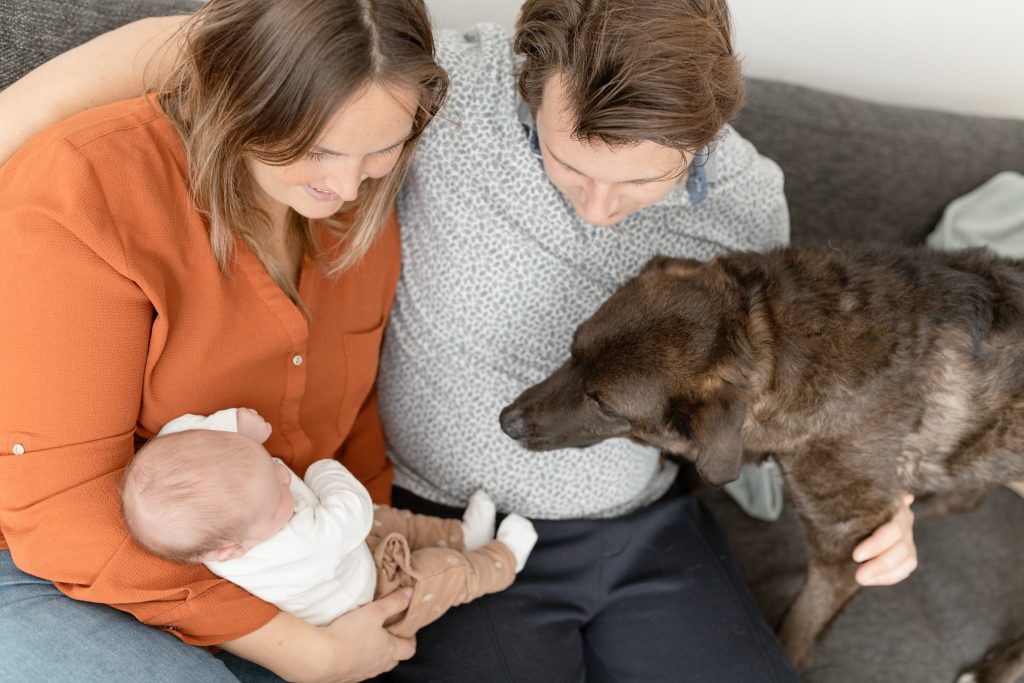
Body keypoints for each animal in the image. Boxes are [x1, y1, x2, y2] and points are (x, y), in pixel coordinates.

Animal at [499, 244, 1024, 679]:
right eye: (572, 349)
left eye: (603, 404)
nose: (506, 421)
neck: (775, 338)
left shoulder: (842, 550)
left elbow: (795, 630)